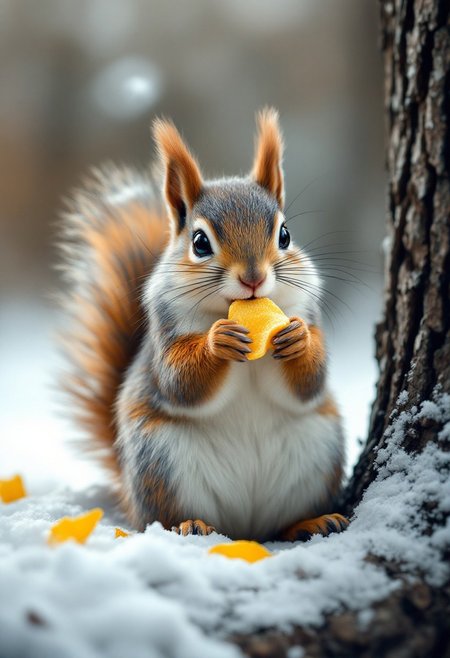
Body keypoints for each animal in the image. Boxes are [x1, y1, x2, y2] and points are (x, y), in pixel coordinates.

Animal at [60, 108, 348, 542]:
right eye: (199, 243)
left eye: (285, 235)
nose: (253, 278)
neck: (227, 310)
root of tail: (244, 529)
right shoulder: (164, 332)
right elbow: (180, 382)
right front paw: (217, 343)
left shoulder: (306, 308)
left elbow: (310, 383)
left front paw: (298, 339)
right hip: (161, 461)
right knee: (163, 517)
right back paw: (190, 524)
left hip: (318, 450)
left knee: (281, 524)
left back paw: (311, 521)